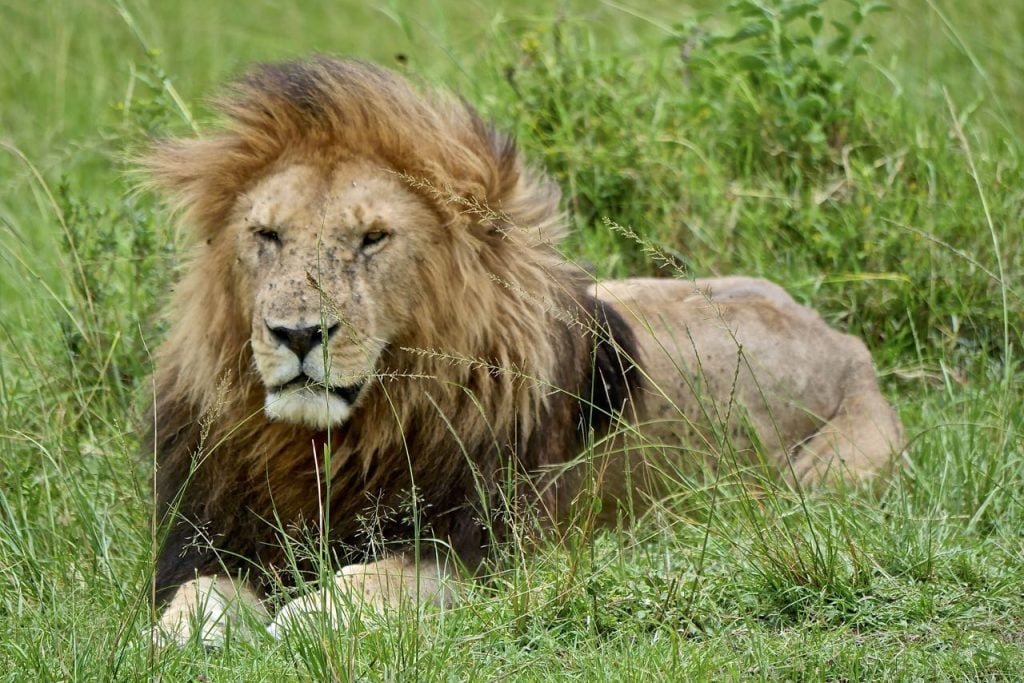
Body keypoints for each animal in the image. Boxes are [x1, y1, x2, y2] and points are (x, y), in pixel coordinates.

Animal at [142, 57, 903, 645]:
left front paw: (306, 614)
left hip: (833, 477)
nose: (298, 334)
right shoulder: (209, 535)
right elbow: (195, 595)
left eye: (373, 238)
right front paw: (177, 635)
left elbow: (380, 581)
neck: (331, 442)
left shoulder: (493, 555)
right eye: (267, 235)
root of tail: (843, 339)